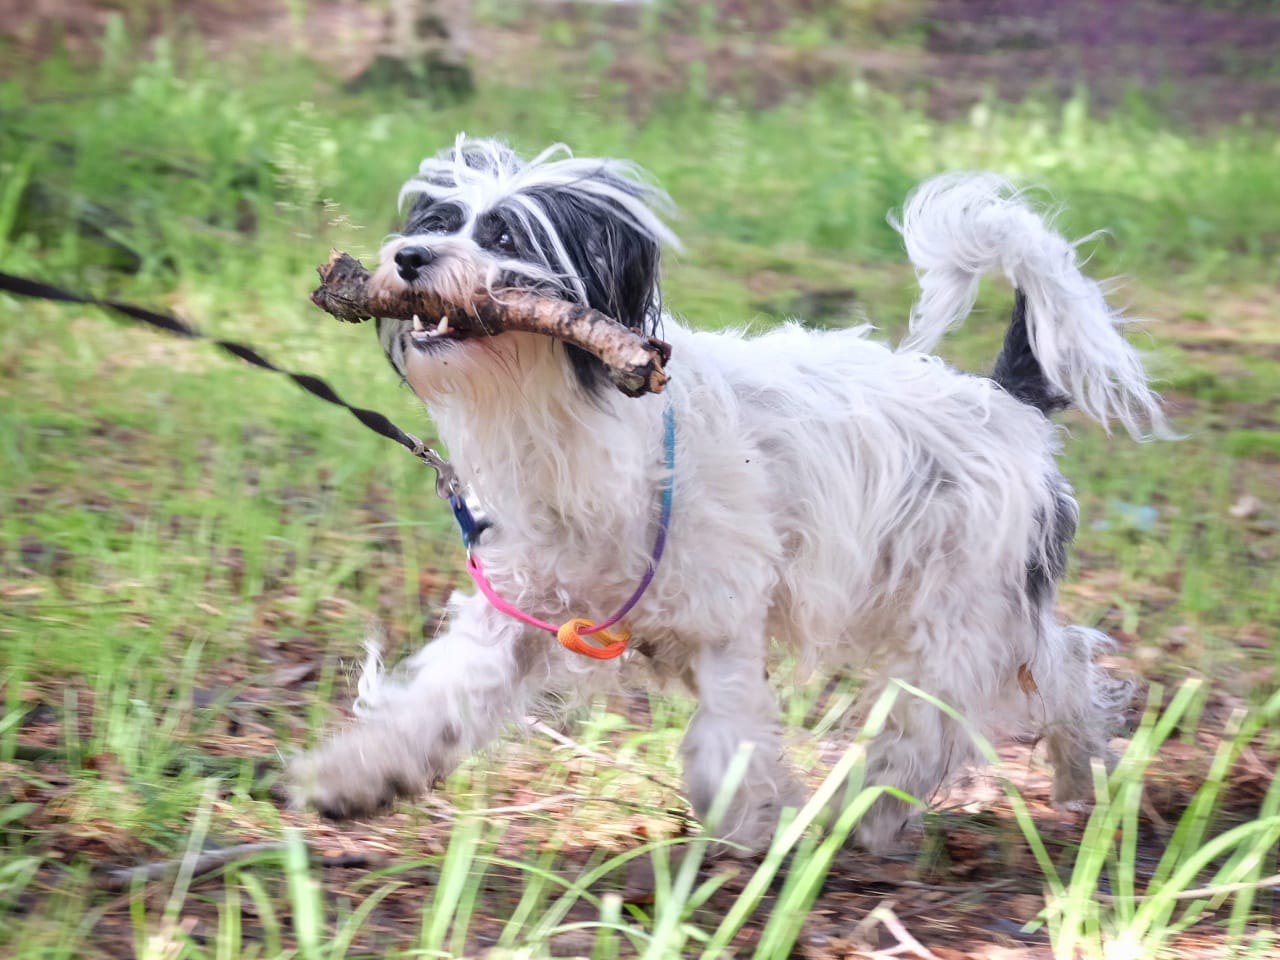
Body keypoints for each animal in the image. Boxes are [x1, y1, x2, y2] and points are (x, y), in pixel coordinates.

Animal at [285, 136, 1167, 855]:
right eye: (438, 218)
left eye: (503, 235)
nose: (409, 257)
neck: (575, 421)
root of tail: (1006, 399)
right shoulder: (518, 609)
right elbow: (436, 704)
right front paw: (357, 777)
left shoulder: (721, 619)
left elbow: (726, 741)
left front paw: (749, 825)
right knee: (1058, 665)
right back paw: (1080, 775)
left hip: (958, 609)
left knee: (949, 714)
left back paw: (881, 808)